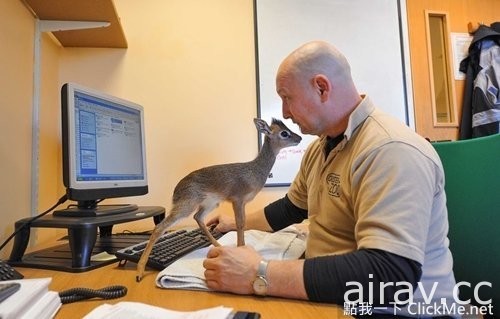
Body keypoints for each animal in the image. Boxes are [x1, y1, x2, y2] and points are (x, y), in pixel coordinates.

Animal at [136, 119, 300, 282]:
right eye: (284, 133)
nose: (299, 138)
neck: (255, 171)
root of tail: (175, 191)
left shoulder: (242, 202)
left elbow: (243, 223)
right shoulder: (237, 199)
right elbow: (240, 224)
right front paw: (240, 249)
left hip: (210, 203)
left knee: (198, 217)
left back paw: (219, 246)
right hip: (188, 204)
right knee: (160, 227)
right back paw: (139, 272)